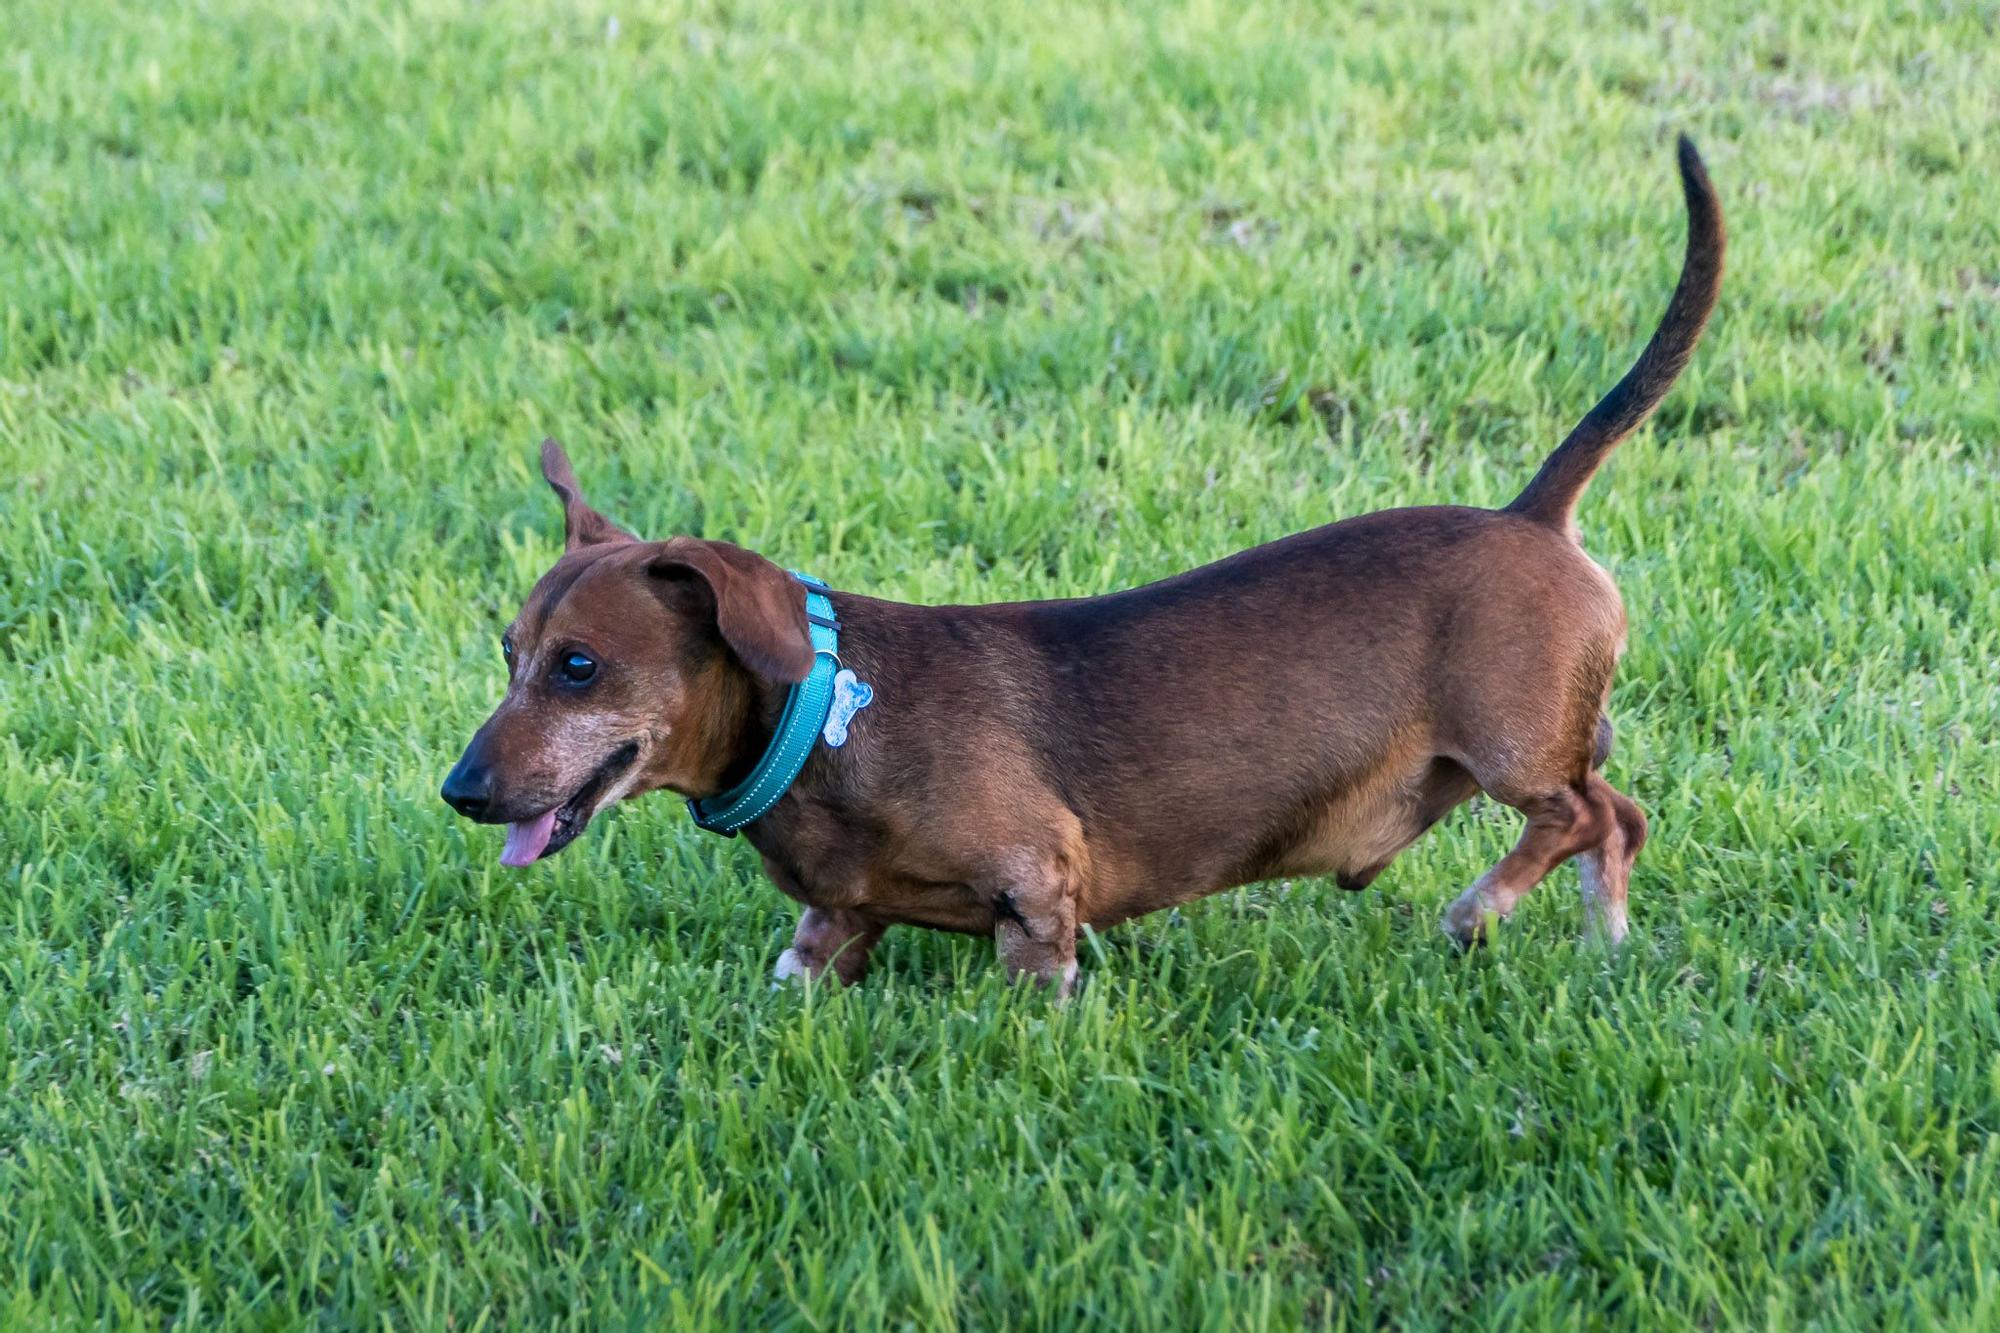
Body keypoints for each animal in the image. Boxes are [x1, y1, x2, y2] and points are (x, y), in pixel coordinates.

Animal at [446, 137, 1728, 984]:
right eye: (509, 653)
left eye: (577, 666)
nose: (457, 791)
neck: (830, 714)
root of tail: (1531, 515)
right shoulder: (829, 931)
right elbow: (800, 971)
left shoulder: (1036, 895)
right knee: (1617, 817)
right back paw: (1593, 944)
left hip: (1514, 744)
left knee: (1592, 814)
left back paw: (1487, 913)